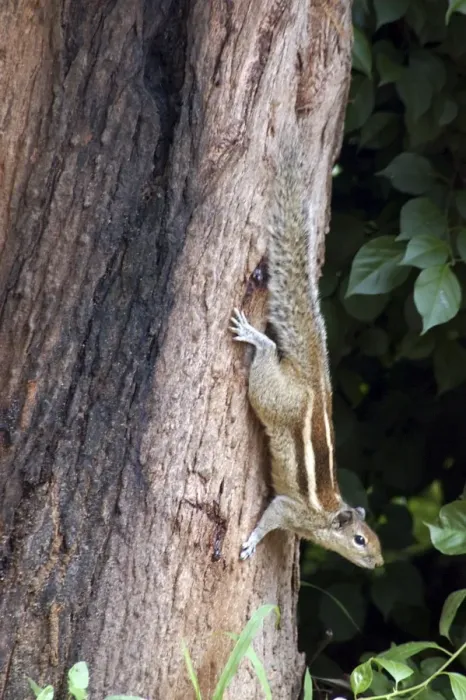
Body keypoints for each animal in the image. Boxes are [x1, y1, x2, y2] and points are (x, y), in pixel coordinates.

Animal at [230, 158, 383, 569]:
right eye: (360, 540)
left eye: (377, 539)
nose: (379, 563)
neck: (325, 518)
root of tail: (313, 381)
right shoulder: (289, 508)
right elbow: (269, 517)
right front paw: (252, 542)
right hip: (272, 397)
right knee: (269, 352)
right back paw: (256, 337)